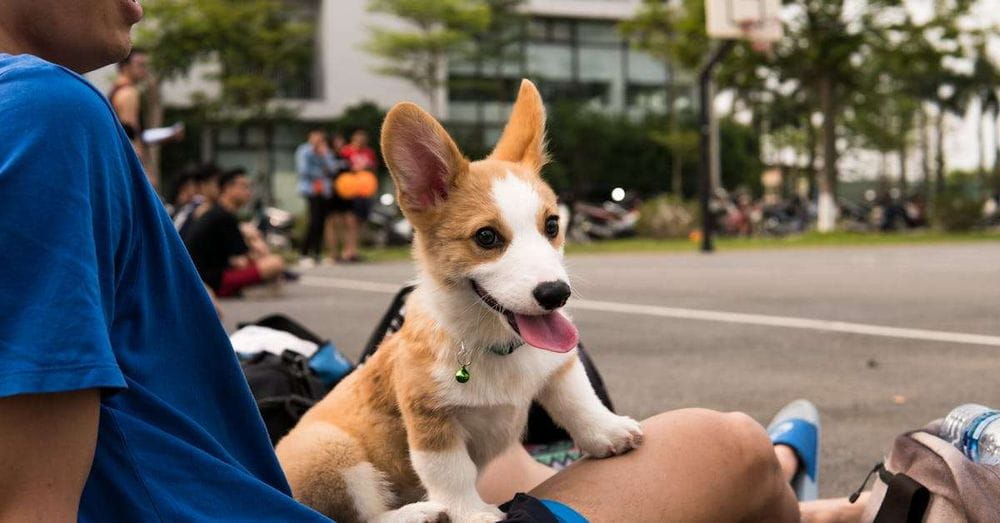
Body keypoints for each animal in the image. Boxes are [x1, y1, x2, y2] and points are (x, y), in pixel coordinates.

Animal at [278, 80, 644, 520]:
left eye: (553, 225)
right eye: (486, 237)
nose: (556, 294)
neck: (493, 344)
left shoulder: (558, 366)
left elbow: (577, 398)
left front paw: (607, 432)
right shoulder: (430, 419)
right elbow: (451, 472)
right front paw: (474, 513)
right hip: (332, 449)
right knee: (356, 515)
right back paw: (417, 513)